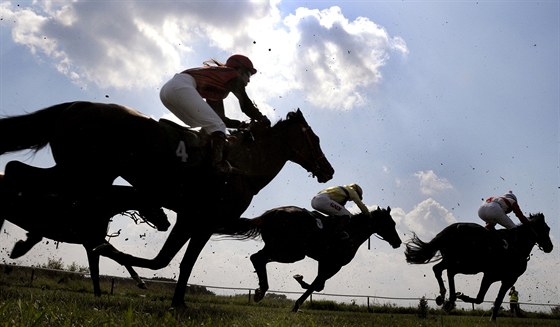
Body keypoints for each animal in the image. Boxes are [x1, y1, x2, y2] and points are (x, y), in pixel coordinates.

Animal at [0, 100, 332, 308]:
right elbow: (164, 260)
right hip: (81, 171)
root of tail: (74, 106)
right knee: (19, 171)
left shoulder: (195, 219)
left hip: (82, 172)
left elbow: (177, 262)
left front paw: (178, 301)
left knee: (20, 171)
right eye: (315, 139)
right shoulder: (201, 219)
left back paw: (26, 237)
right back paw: (26, 238)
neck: (243, 167)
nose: (328, 170)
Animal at [228, 206, 402, 312]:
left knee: (259, 258)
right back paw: (261, 291)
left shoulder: (324, 261)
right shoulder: (335, 264)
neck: (352, 232)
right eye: (391, 223)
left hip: (281, 249)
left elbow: (318, 285)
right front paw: (296, 303)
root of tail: (271, 213)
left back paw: (260, 291)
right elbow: (317, 285)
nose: (398, 242)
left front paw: (300, 280)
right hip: (292, 252)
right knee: (257, 257)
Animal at [404, 214, 552, 322]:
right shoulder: (501, 277)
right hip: (467, 264)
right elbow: (485, 298)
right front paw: (463, 297)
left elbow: (491, 299)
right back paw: (451, 299)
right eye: (546, 229)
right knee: (450, 272)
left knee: (438, 269)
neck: (516, 245)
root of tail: (449, 230)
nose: (550, 247)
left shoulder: (498, 278)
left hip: (453, 260)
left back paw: (443, 296)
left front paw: (492, 318)